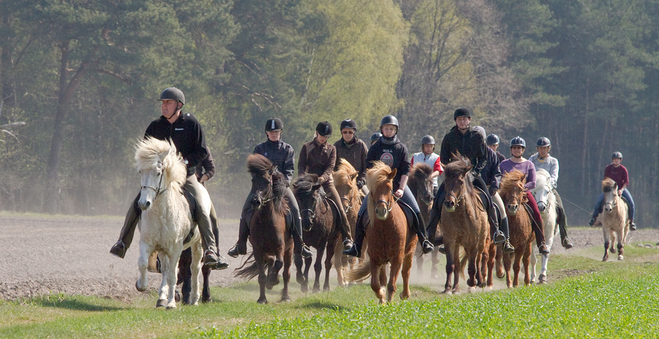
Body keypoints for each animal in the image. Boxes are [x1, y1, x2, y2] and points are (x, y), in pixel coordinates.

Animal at [133, 137, 204, 310]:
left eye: (158, 173)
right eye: (141, 172)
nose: (144, 203)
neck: (161, 213)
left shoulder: (175, 248)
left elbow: (173, 275)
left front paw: (171, 304)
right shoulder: (147, 243)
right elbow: (143, 263)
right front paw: (141, 285)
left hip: (197, 244)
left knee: (195, 268)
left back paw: (194, 299)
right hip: (163, 250)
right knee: (165, 269)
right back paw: (161, 298)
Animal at [233, 154, 292, 306]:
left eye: (267, 181)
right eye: (253, 180)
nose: (255, 201)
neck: (266, 221)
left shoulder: (280, 247)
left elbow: (279, 264)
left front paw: (273, 281)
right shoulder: (258, 250)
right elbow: (261, 276)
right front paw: (262, 298)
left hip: (290, 250)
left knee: (286, 273)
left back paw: (285, 296)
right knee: (270, 262)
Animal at [346, 162, 418, 306]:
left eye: (389, 188)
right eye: (372, 190)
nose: (381, 211)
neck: (384, 228)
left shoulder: (397, 257)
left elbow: (392, 284)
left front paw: (389, 302)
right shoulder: (375, 257)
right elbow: (375, 284)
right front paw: (382, 296)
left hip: (410, 250)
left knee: (406, 272)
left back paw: (405, 294)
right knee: (384, 277)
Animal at [438, 155, 490, 294]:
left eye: (461, 182)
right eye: (445, 182)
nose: (449, 203)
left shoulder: (473, 242)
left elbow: (472, 266)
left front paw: (472, 283)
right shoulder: (450, 240)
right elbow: (451, 265)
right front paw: (448, 288)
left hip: (481, 241)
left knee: (479, 258)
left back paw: (480, 281)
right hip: (459, 244)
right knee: (457, 263)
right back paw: (456, 288)